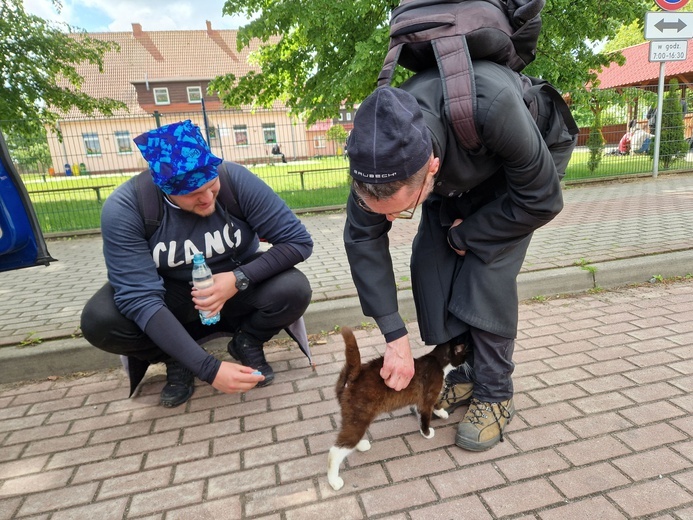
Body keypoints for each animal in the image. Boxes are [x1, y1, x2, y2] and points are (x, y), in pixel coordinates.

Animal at [328, 328, 468, 490]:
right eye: (465, 353)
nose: (467, 362)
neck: (437, 361)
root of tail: (354, 375)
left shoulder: (423, 399)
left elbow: (434, 405)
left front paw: (442, 413)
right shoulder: (427, 398)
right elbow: (426, 415)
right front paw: (427, 433)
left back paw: (361, 445)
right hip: (358, 417)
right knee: (335, 451)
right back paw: (334, 481)